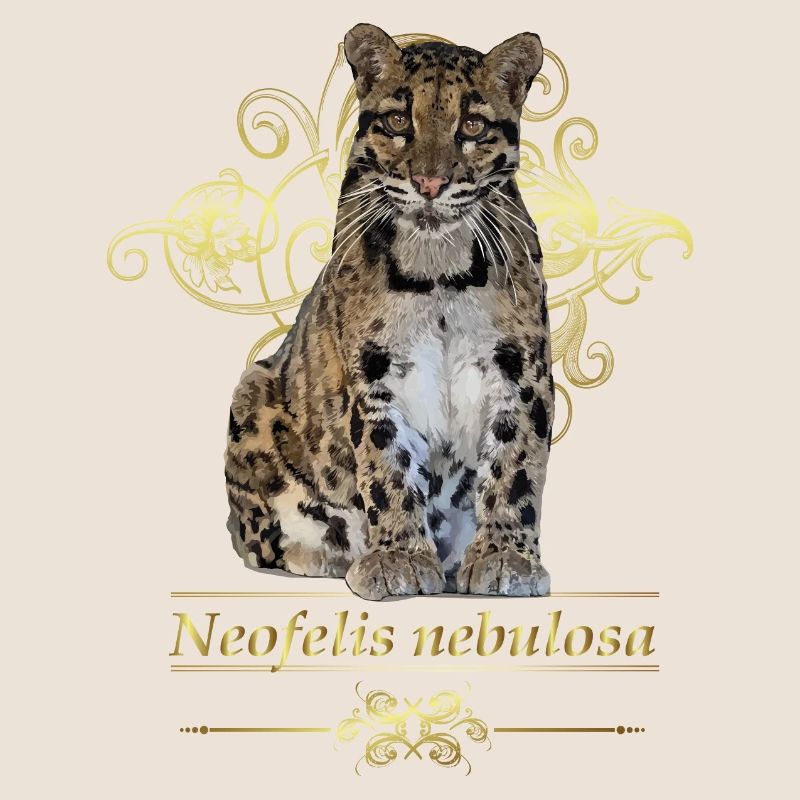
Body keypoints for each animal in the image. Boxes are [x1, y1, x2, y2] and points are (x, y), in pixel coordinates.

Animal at [224, 23, 554, 600]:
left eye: (472, 125)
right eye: (400, 120)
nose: (429, 184)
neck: (439, 270)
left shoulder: (521, 369)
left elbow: (516, 464)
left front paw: (505, 557)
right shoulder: (374, 371)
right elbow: (386, 465)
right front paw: (398, 556)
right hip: (251, 392)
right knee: (260, 537)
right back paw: (329, 554)